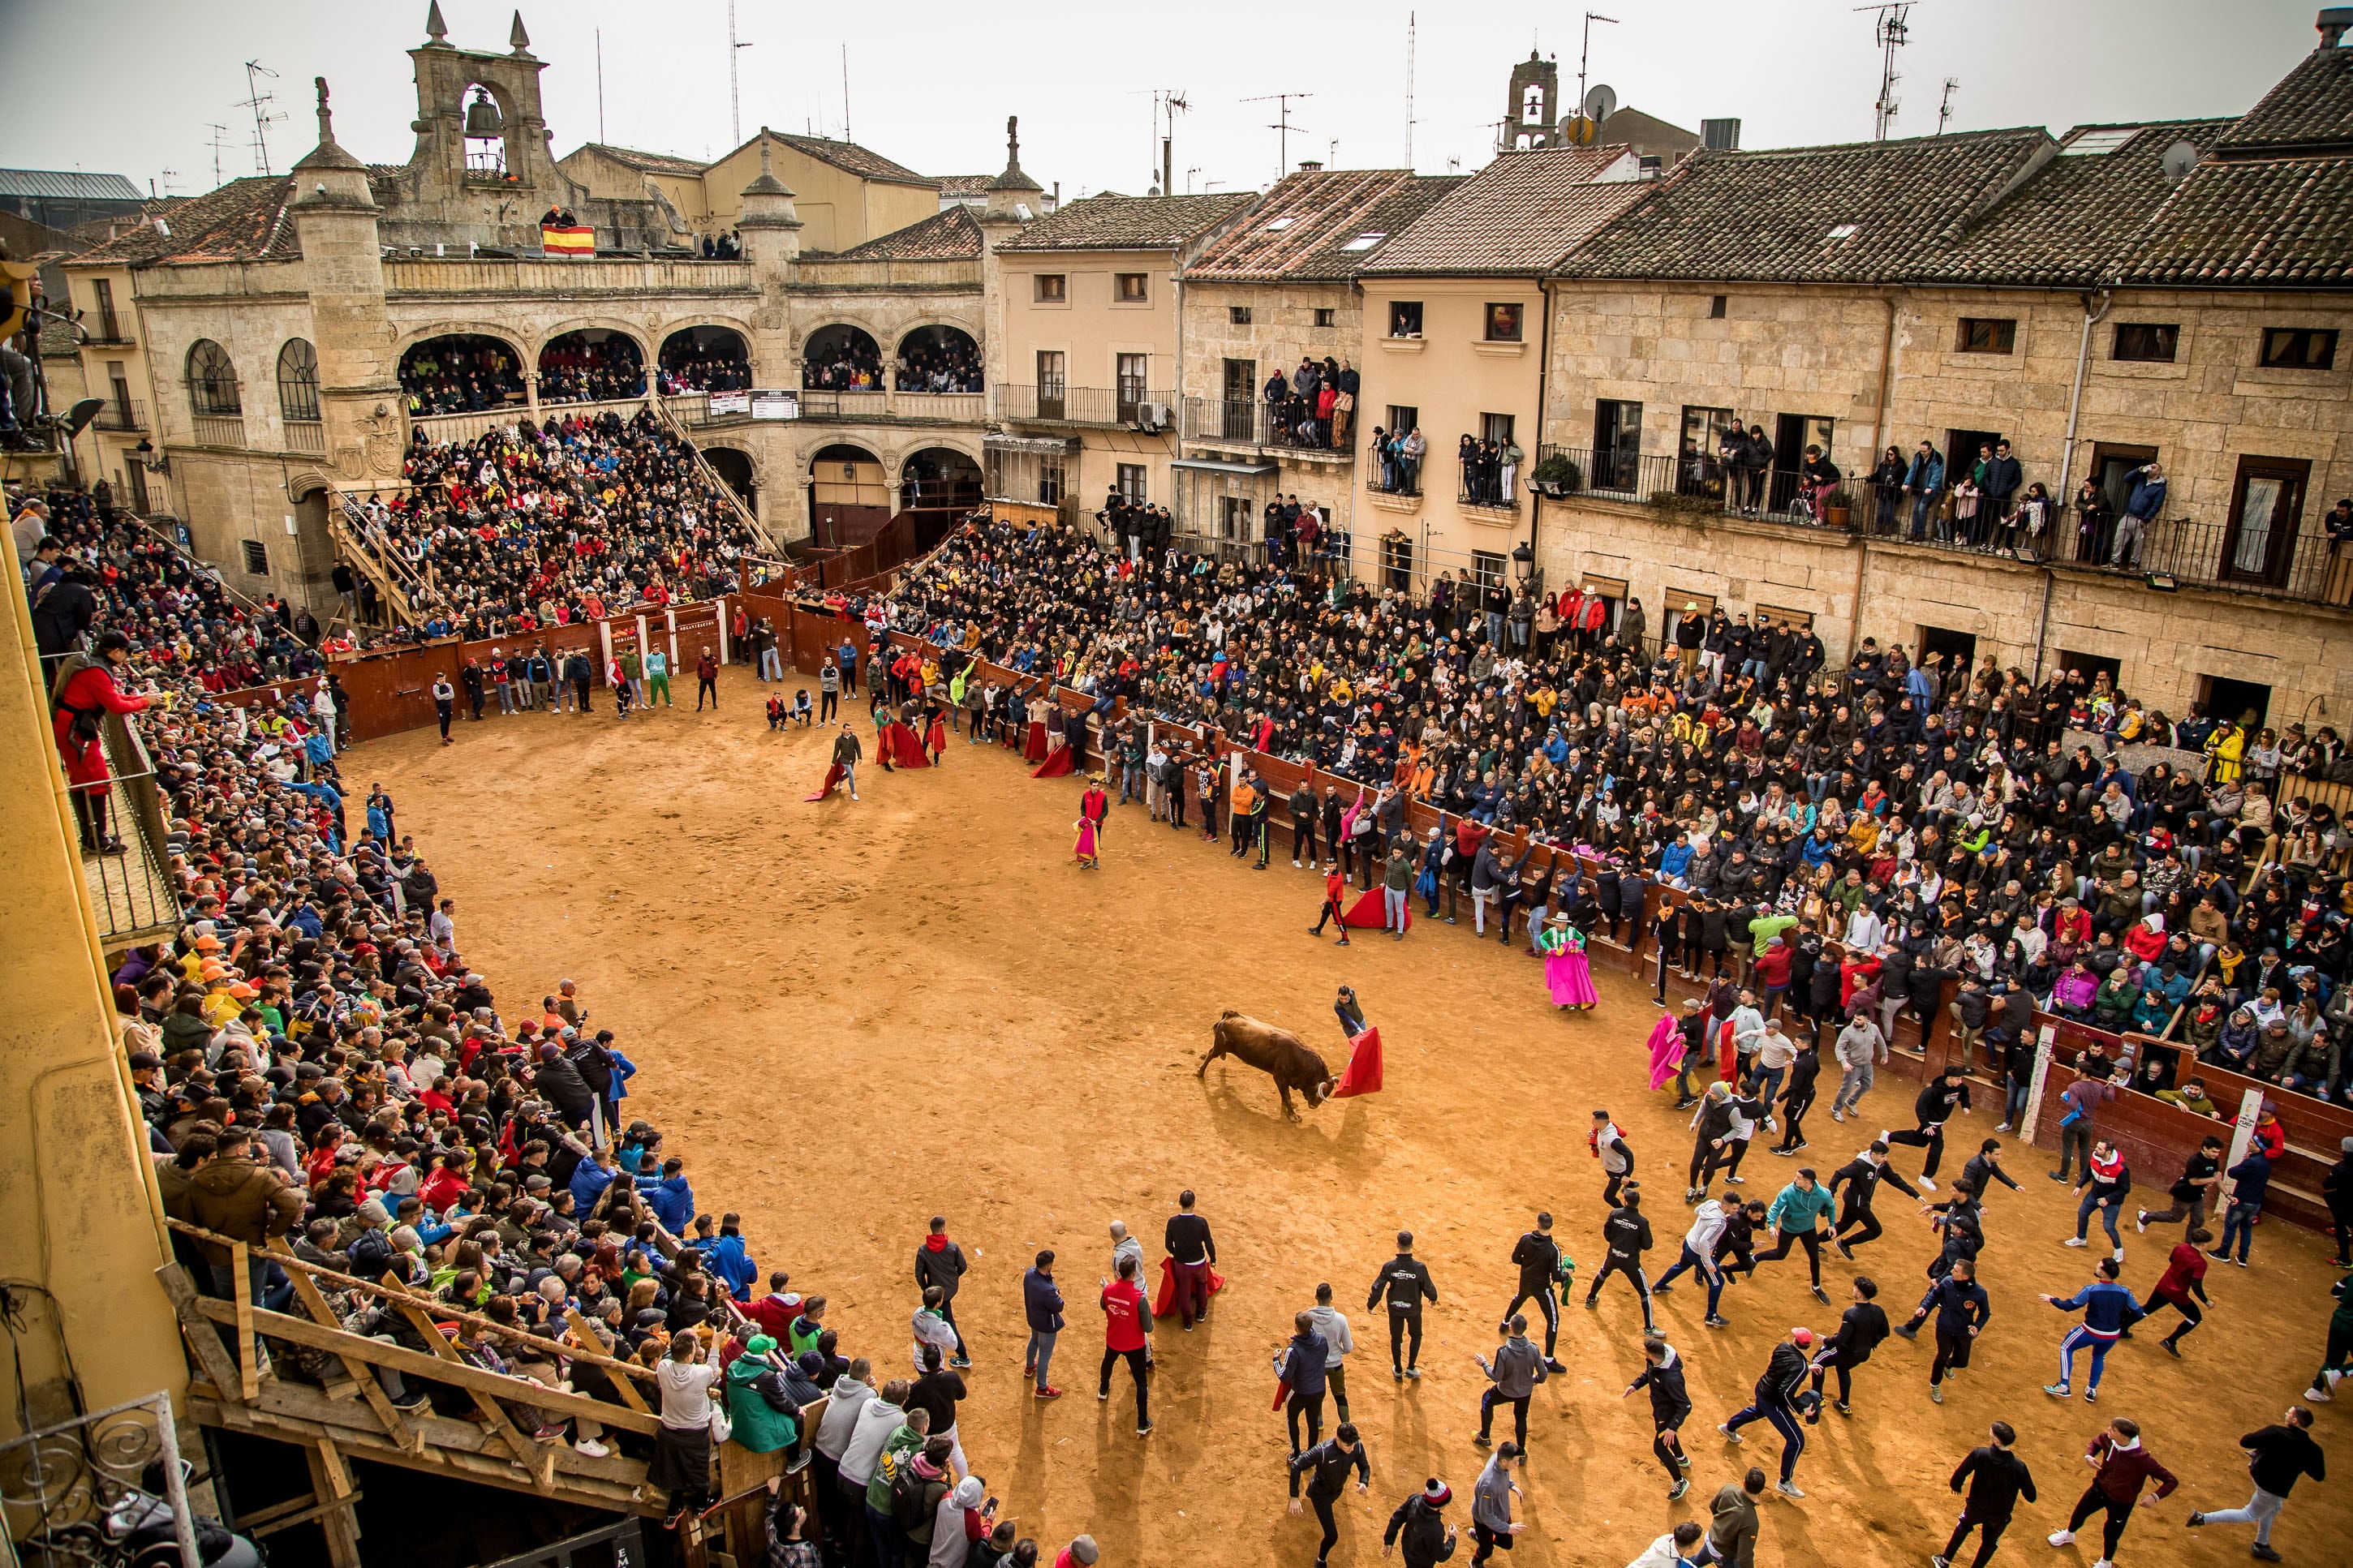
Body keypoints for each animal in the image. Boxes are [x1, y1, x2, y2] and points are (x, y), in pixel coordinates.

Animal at [1204, 1011, 1336, 1123]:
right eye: (1316, 1091)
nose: (1314, 1106)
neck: (1301, 1059)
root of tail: (1230, 1015)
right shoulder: (1279, 1078)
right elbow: (1287, 1096)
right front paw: (1293, 1116)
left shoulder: (1285, 1081)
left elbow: (1285, 1095)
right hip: (1219, 1046)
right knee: (1210, 1055)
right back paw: (1200, 1073)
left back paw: (1222, 1057)